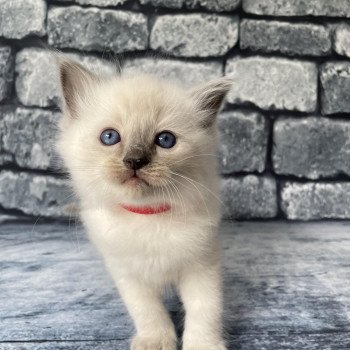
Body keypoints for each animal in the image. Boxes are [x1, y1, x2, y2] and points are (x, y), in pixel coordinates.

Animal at [56, 58, 232, 350]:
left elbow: (205, 311)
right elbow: (148, 311)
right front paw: (155, 340)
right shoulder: (128, 274)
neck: (148, 216)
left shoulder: (202, 266)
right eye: (109, 137)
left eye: (165, 140)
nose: (135, 161)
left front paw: (202, 344)